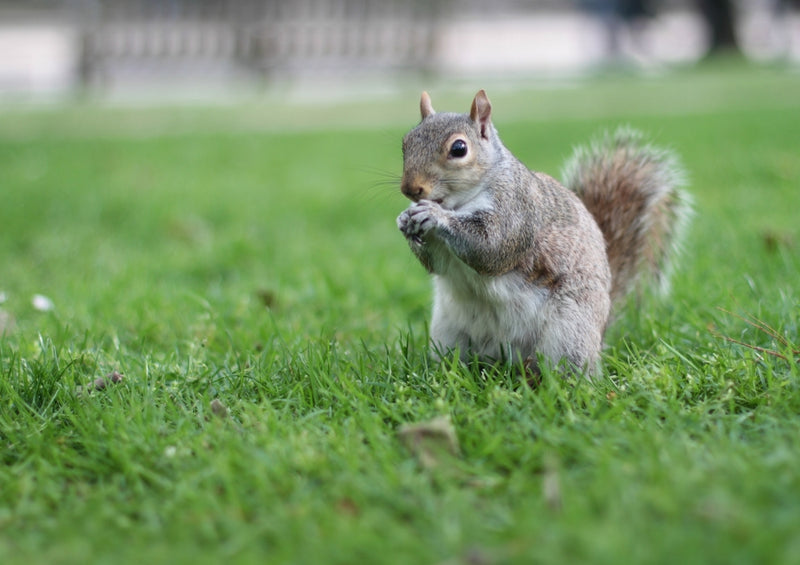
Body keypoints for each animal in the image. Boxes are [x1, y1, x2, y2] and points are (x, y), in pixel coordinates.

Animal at [396, 90, 692, 376]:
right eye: (405, 143)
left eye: (459, 148)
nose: (410, 189)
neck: (459, 202)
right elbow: (437, 264)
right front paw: (405, 219)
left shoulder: (517, 211)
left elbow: (490, 248)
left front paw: (435, 216)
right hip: (448, 332)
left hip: (569, 332)